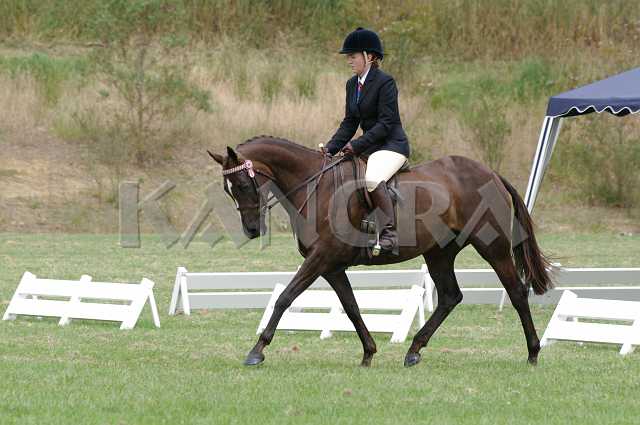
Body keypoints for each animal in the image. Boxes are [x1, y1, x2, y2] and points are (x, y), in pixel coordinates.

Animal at [208, 135, 554, 368]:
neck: (315, 186)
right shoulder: (331, 265)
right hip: (439, 253)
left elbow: (285, 297)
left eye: (242, 184)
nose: (252, 230)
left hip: (493, 246)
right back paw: (413, 351)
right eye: (229, 189)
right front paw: (368, 353)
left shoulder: (321, 258)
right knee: (450, 296)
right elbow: (351, 307)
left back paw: (533, 353)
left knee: (516, 292)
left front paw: (257, 351)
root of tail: (491, 174)